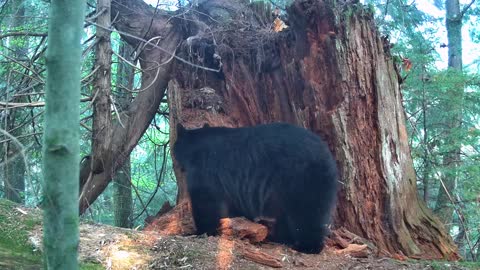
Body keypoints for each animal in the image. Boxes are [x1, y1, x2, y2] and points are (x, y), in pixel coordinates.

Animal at [172, 122, 338, 253]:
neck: (195, 148)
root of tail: (328, 154)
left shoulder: (205, 170)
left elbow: (205, 202)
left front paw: (199, 232)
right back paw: (280, 238)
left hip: (302, 178)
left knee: (307, 212)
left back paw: (307, 246)